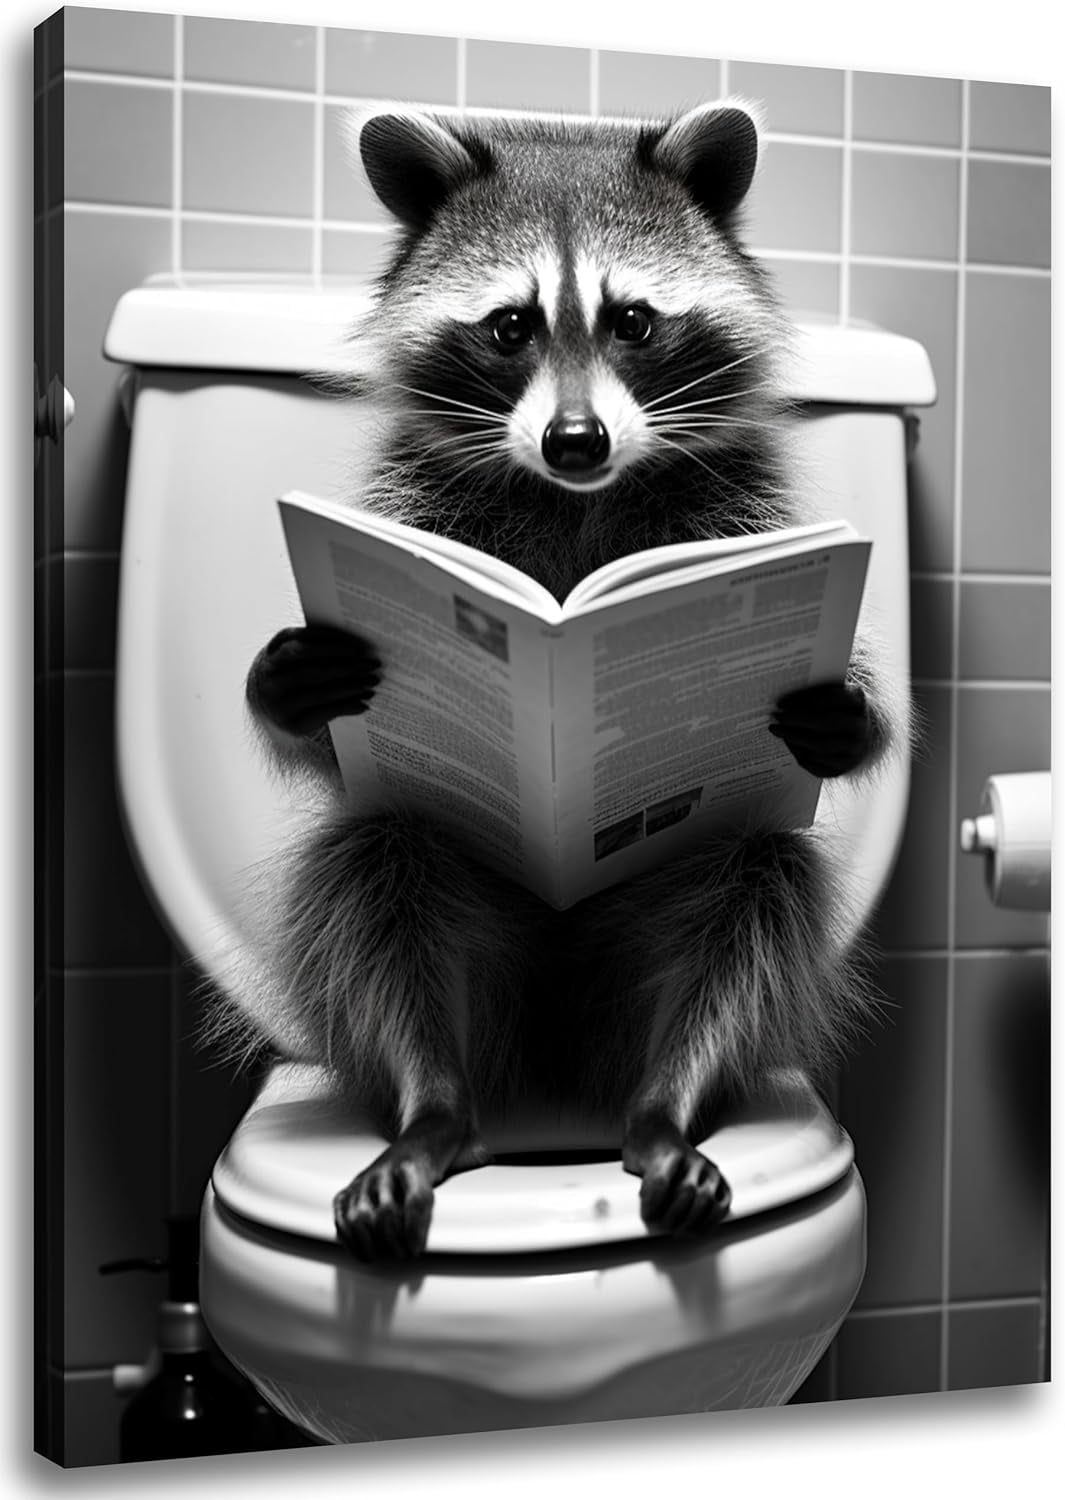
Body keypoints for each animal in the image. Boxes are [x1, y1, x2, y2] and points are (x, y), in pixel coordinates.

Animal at [242, 101, 897, 1262]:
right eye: (510, 328)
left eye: (632, 321)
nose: (576, 441)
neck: (578, 499)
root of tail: (554, 1056)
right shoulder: (418, 509)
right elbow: (333, 762)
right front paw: (292, 684)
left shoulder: (741, 519)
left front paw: (846, 713)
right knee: (375, 863)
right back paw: (430, 1105)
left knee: (755, 884)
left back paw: (666, 1104)